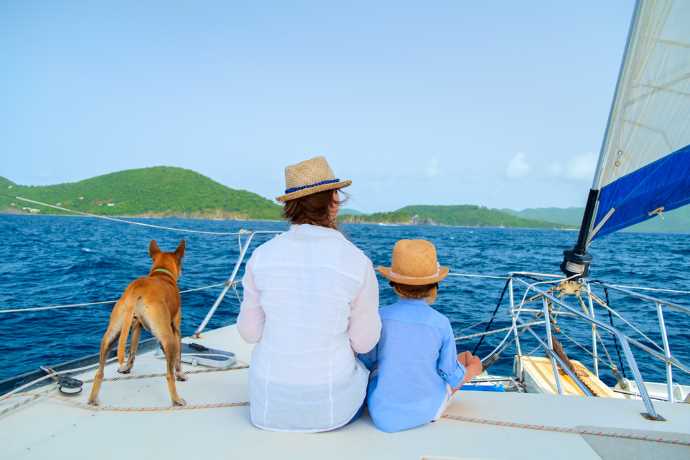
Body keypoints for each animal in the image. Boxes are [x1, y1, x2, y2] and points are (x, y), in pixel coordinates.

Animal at [87, 239, 187, 404]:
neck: (161, 273)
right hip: (168, 338)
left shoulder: (136, 326)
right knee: (169, 374)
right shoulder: (176, 327)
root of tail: (137, 289)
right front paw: (181, 375)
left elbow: (132, 350)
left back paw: (93, 398)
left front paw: (127, 367)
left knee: (99, 372)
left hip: (112, 334)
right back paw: (176, 399)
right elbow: (179, 357)